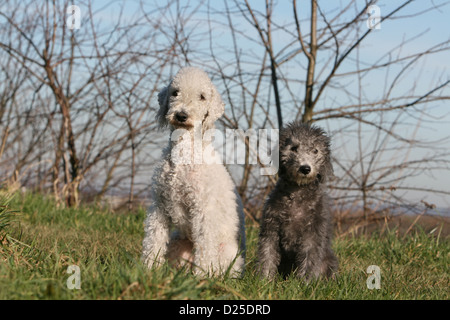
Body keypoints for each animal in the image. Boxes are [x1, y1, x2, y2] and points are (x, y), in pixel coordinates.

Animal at [142, 66, 244, 276]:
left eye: (202, 97)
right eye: (175, 92)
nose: (181, 115)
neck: (183, 155)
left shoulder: (203, 210)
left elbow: (205, 248)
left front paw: (201, 277)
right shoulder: (159, 206)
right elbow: (153, 240)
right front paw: (148, 270)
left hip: (227, 253)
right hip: (177, 243)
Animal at [256, 122, 338, 280]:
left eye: (315, 150)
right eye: (294, 148)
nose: (305, 168)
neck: (298, 192)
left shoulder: (313, 233)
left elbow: (309, 260)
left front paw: (305, 282)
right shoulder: (271, 228)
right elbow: (267, 255)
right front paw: (264, 280)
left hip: (329, 262)